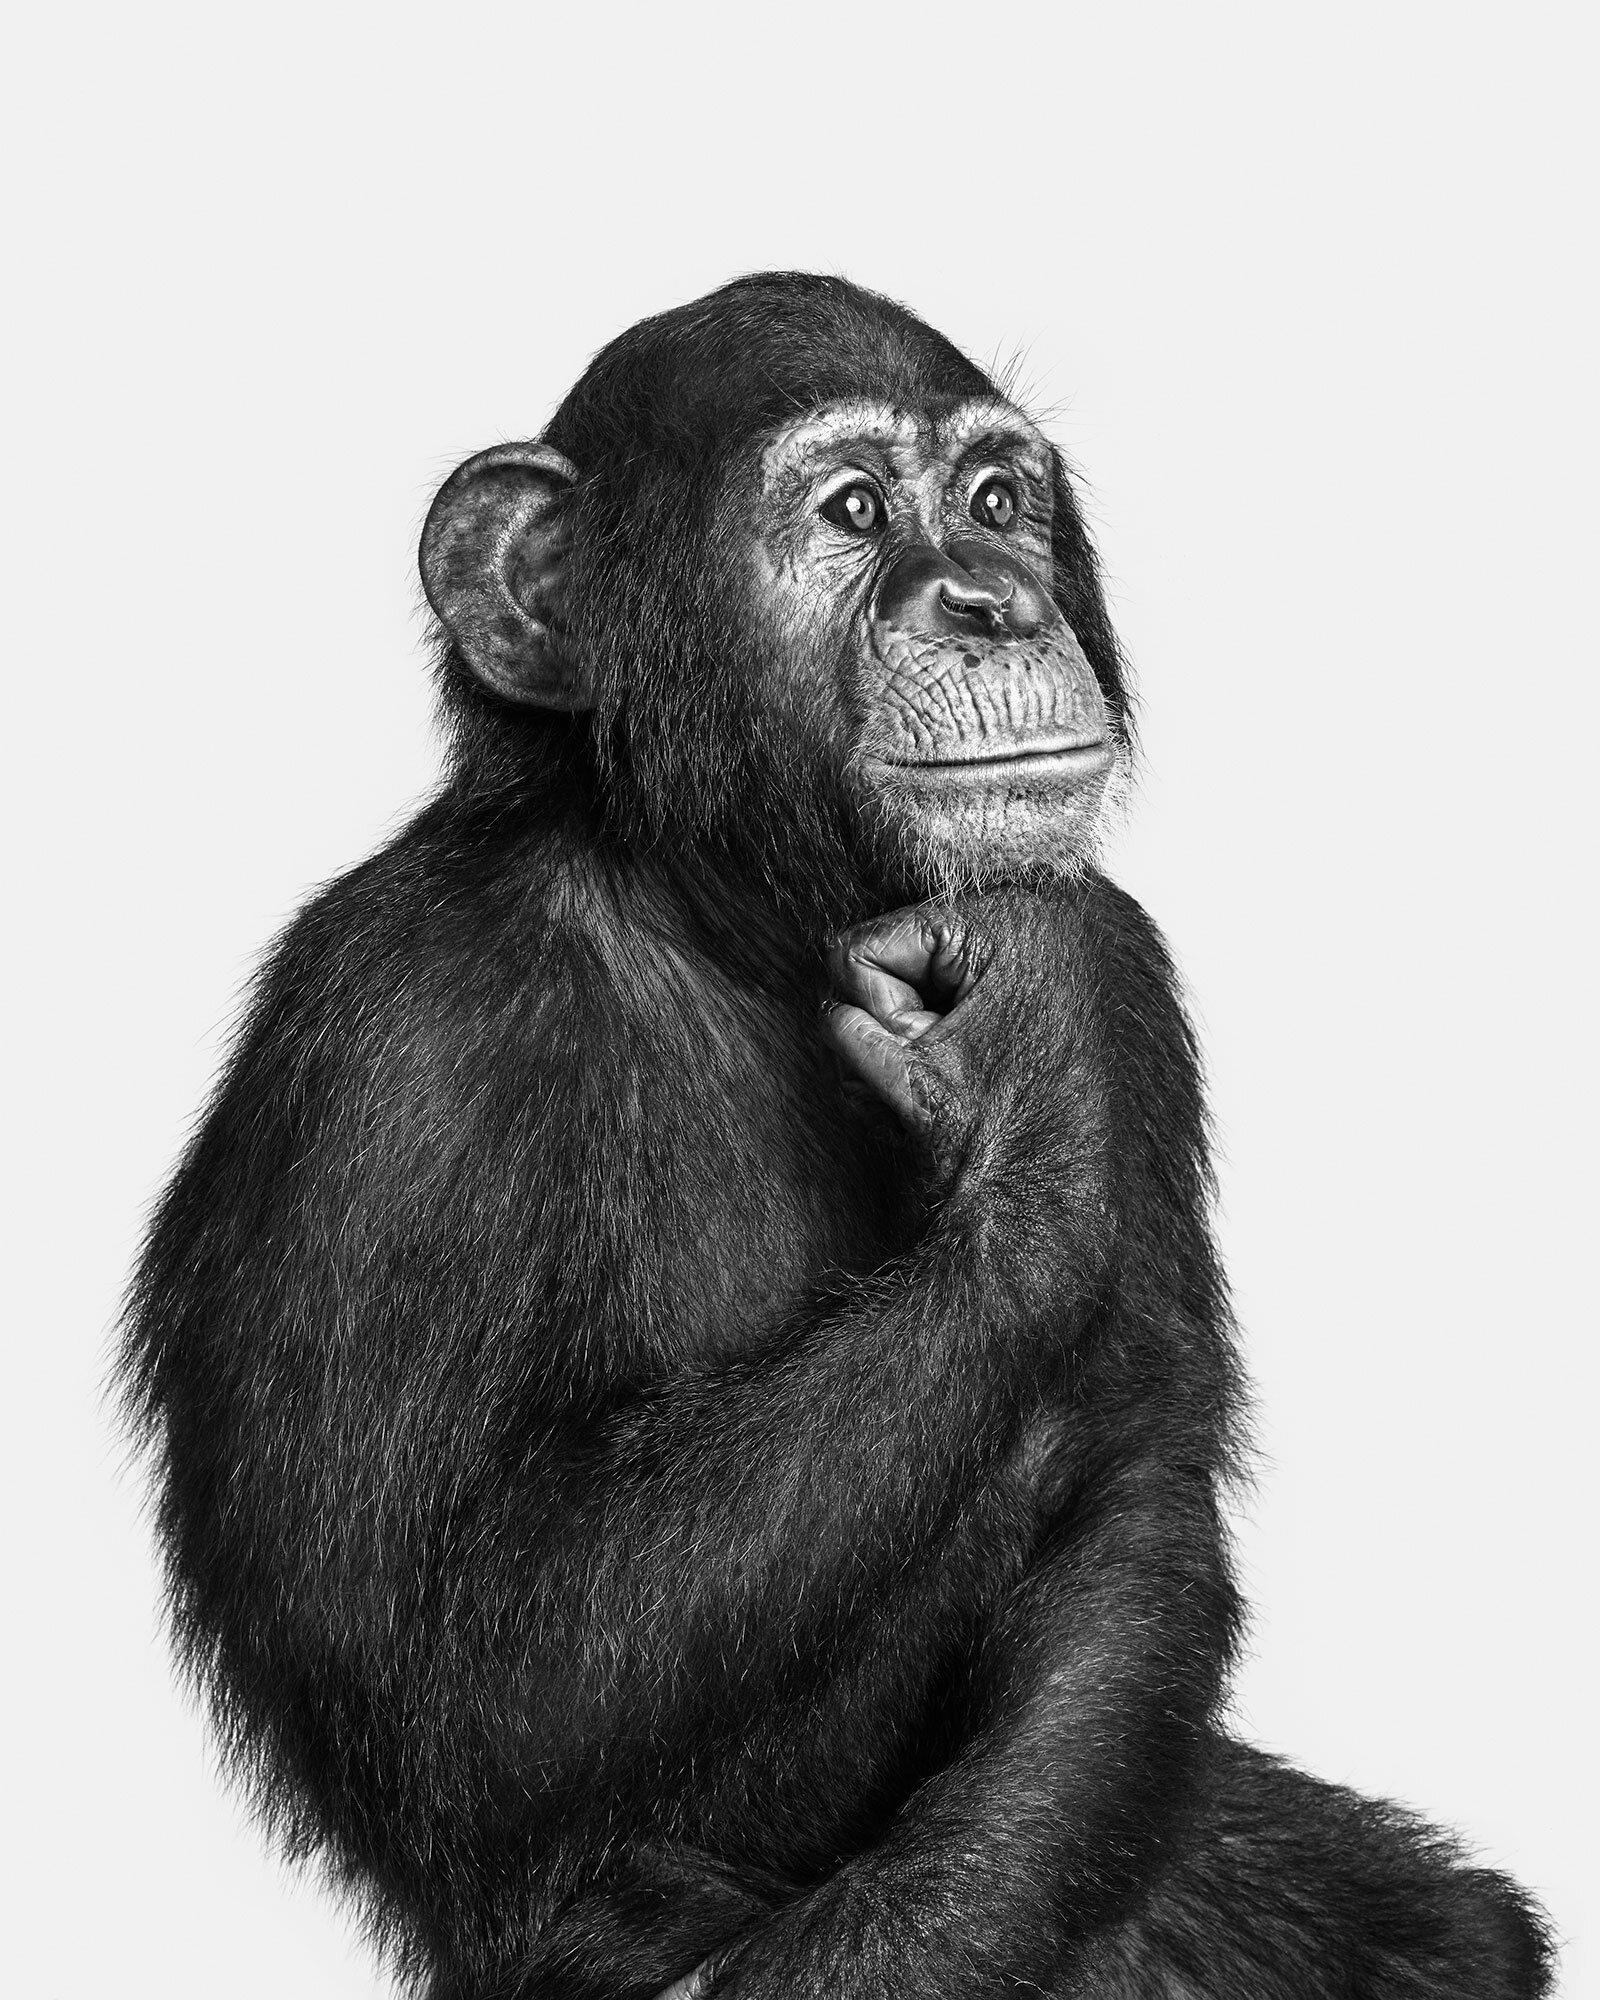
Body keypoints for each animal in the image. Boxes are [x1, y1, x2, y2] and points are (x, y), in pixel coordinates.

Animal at [121, 272, 1553, 1998]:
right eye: (856, 510)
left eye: (998, 500)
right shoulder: (397, 1048)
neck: (732, 919)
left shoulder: (1127, 954)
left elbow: (1130, 1506)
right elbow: (463, 1681)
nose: (992, 599)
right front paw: (1028, 1073)